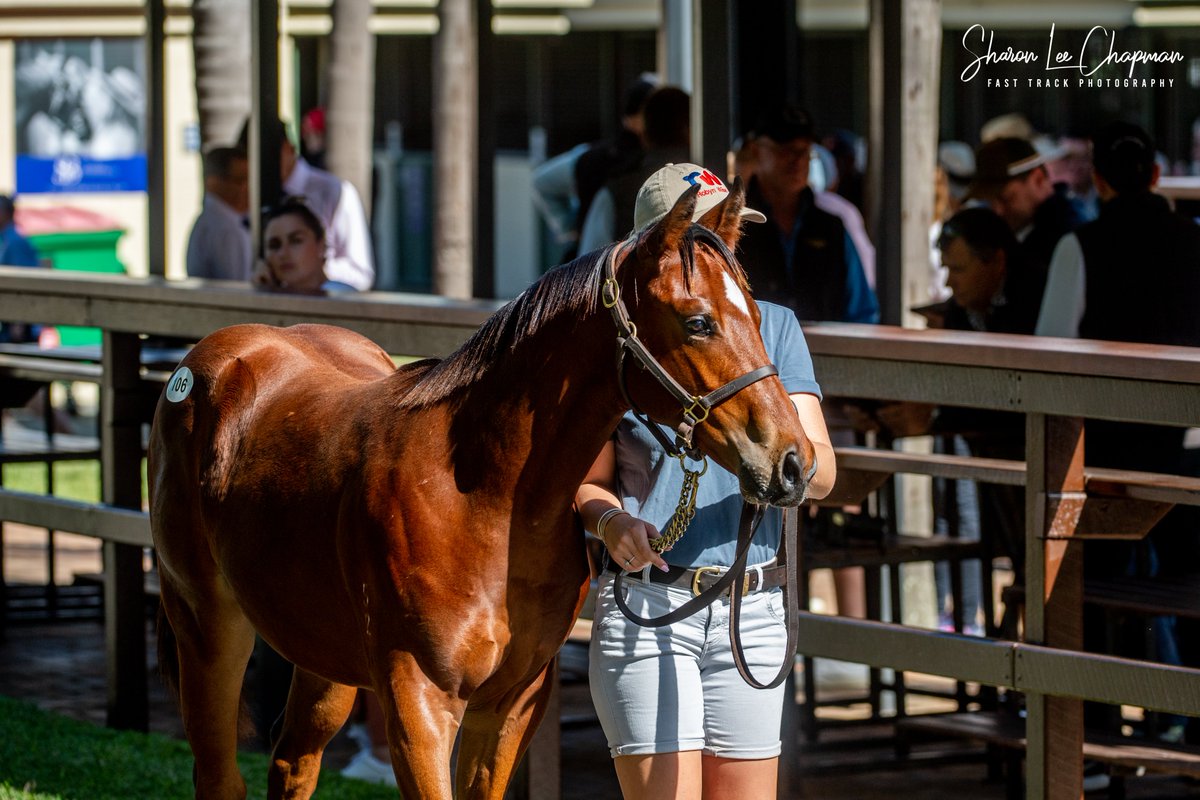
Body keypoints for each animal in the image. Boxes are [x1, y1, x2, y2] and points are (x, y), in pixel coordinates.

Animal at [148, 180, 816, 800]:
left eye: (759, 318)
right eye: (698, 322)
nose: (793, 462)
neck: (485, 503)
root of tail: (213, 359)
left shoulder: (511, 703)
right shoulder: (417, 703)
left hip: (322, 660)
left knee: (292, 765)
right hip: (207, 629)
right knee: (220, 775)